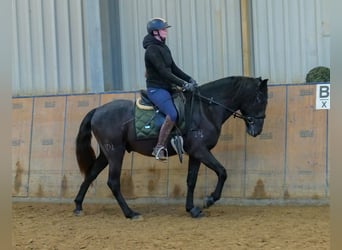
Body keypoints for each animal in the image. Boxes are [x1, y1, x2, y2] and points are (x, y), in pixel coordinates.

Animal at [73, 75, 268, 219]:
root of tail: (97, 110)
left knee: (90, 174)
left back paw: (78, 206)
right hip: (115, 152)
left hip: (107, 153)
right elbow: (222, 171)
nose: (257, 130)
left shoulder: (195, 153)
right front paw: (210, 199)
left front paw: (192, 209)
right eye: (260, 98)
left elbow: (191, 180)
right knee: (113, 182)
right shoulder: (200, 150)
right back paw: (131, 213)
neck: (205, 109)